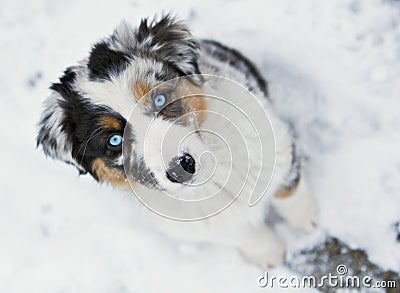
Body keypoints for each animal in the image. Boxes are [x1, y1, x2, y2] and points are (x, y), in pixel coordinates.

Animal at [37, 15, 318, 266]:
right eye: (114, 140)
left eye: (160, 99)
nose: (181, 168)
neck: (214, 177)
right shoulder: (202, 224)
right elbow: (241, 233)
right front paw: (267, 255)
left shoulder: (276, 146)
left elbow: (288, 190)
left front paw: (309, 221)